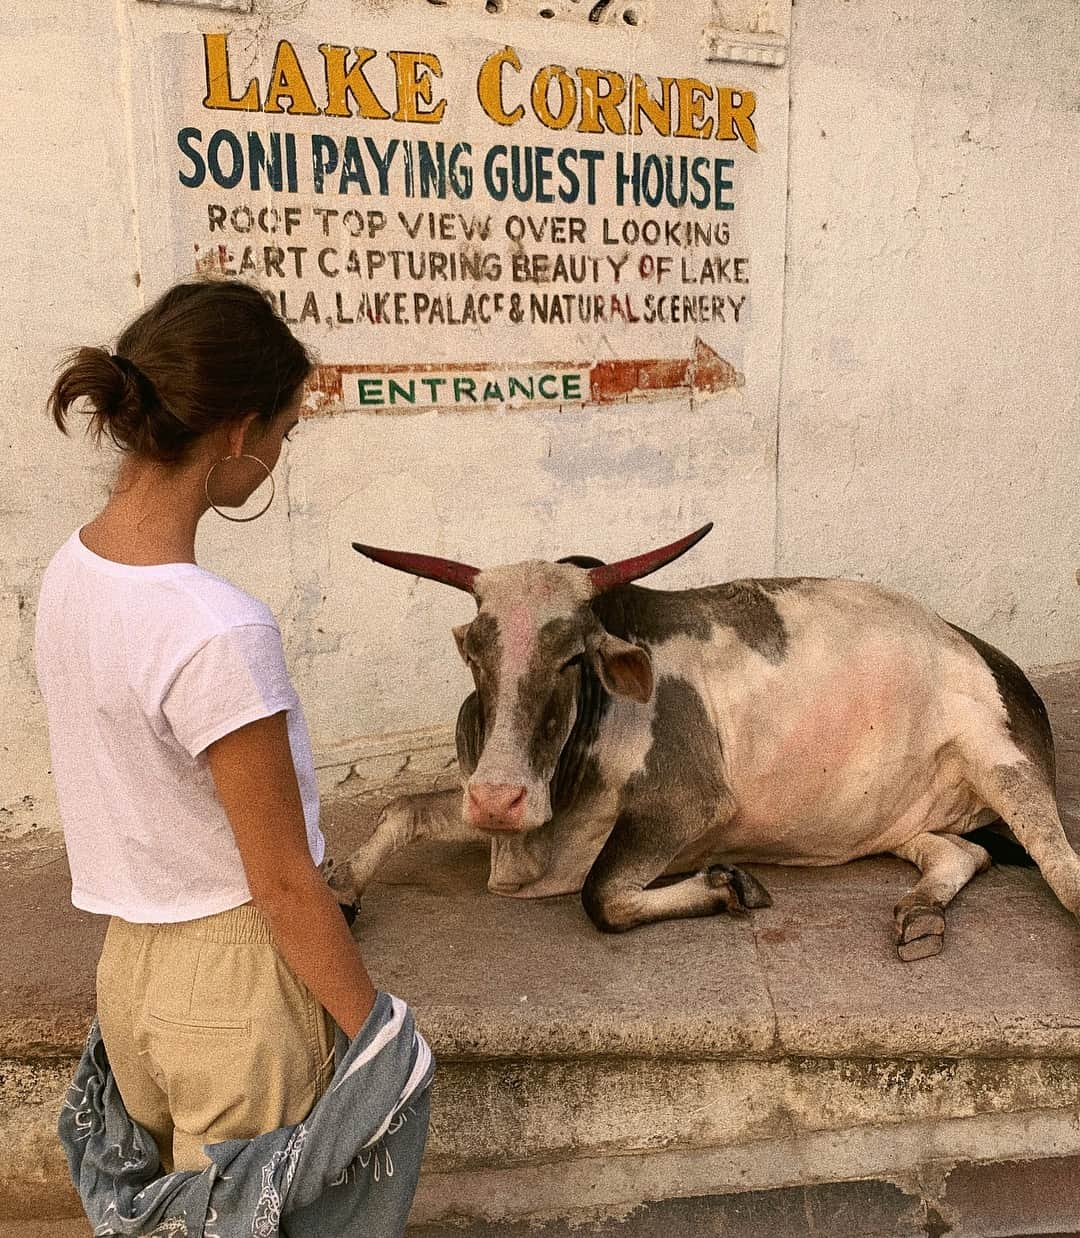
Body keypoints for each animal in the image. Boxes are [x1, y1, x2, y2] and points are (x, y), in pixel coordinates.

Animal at [339, 522, 1080, 955]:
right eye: (477, 657)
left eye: (572, 658)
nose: (500, 799)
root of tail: (991, 655)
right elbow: (400, 812)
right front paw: (342, 890)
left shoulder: (687, 806)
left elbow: (600, 896)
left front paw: (729, 887)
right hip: (899, 820)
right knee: (960, 854)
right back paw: (921, 913)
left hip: (1002, 761)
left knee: (1064, 874)